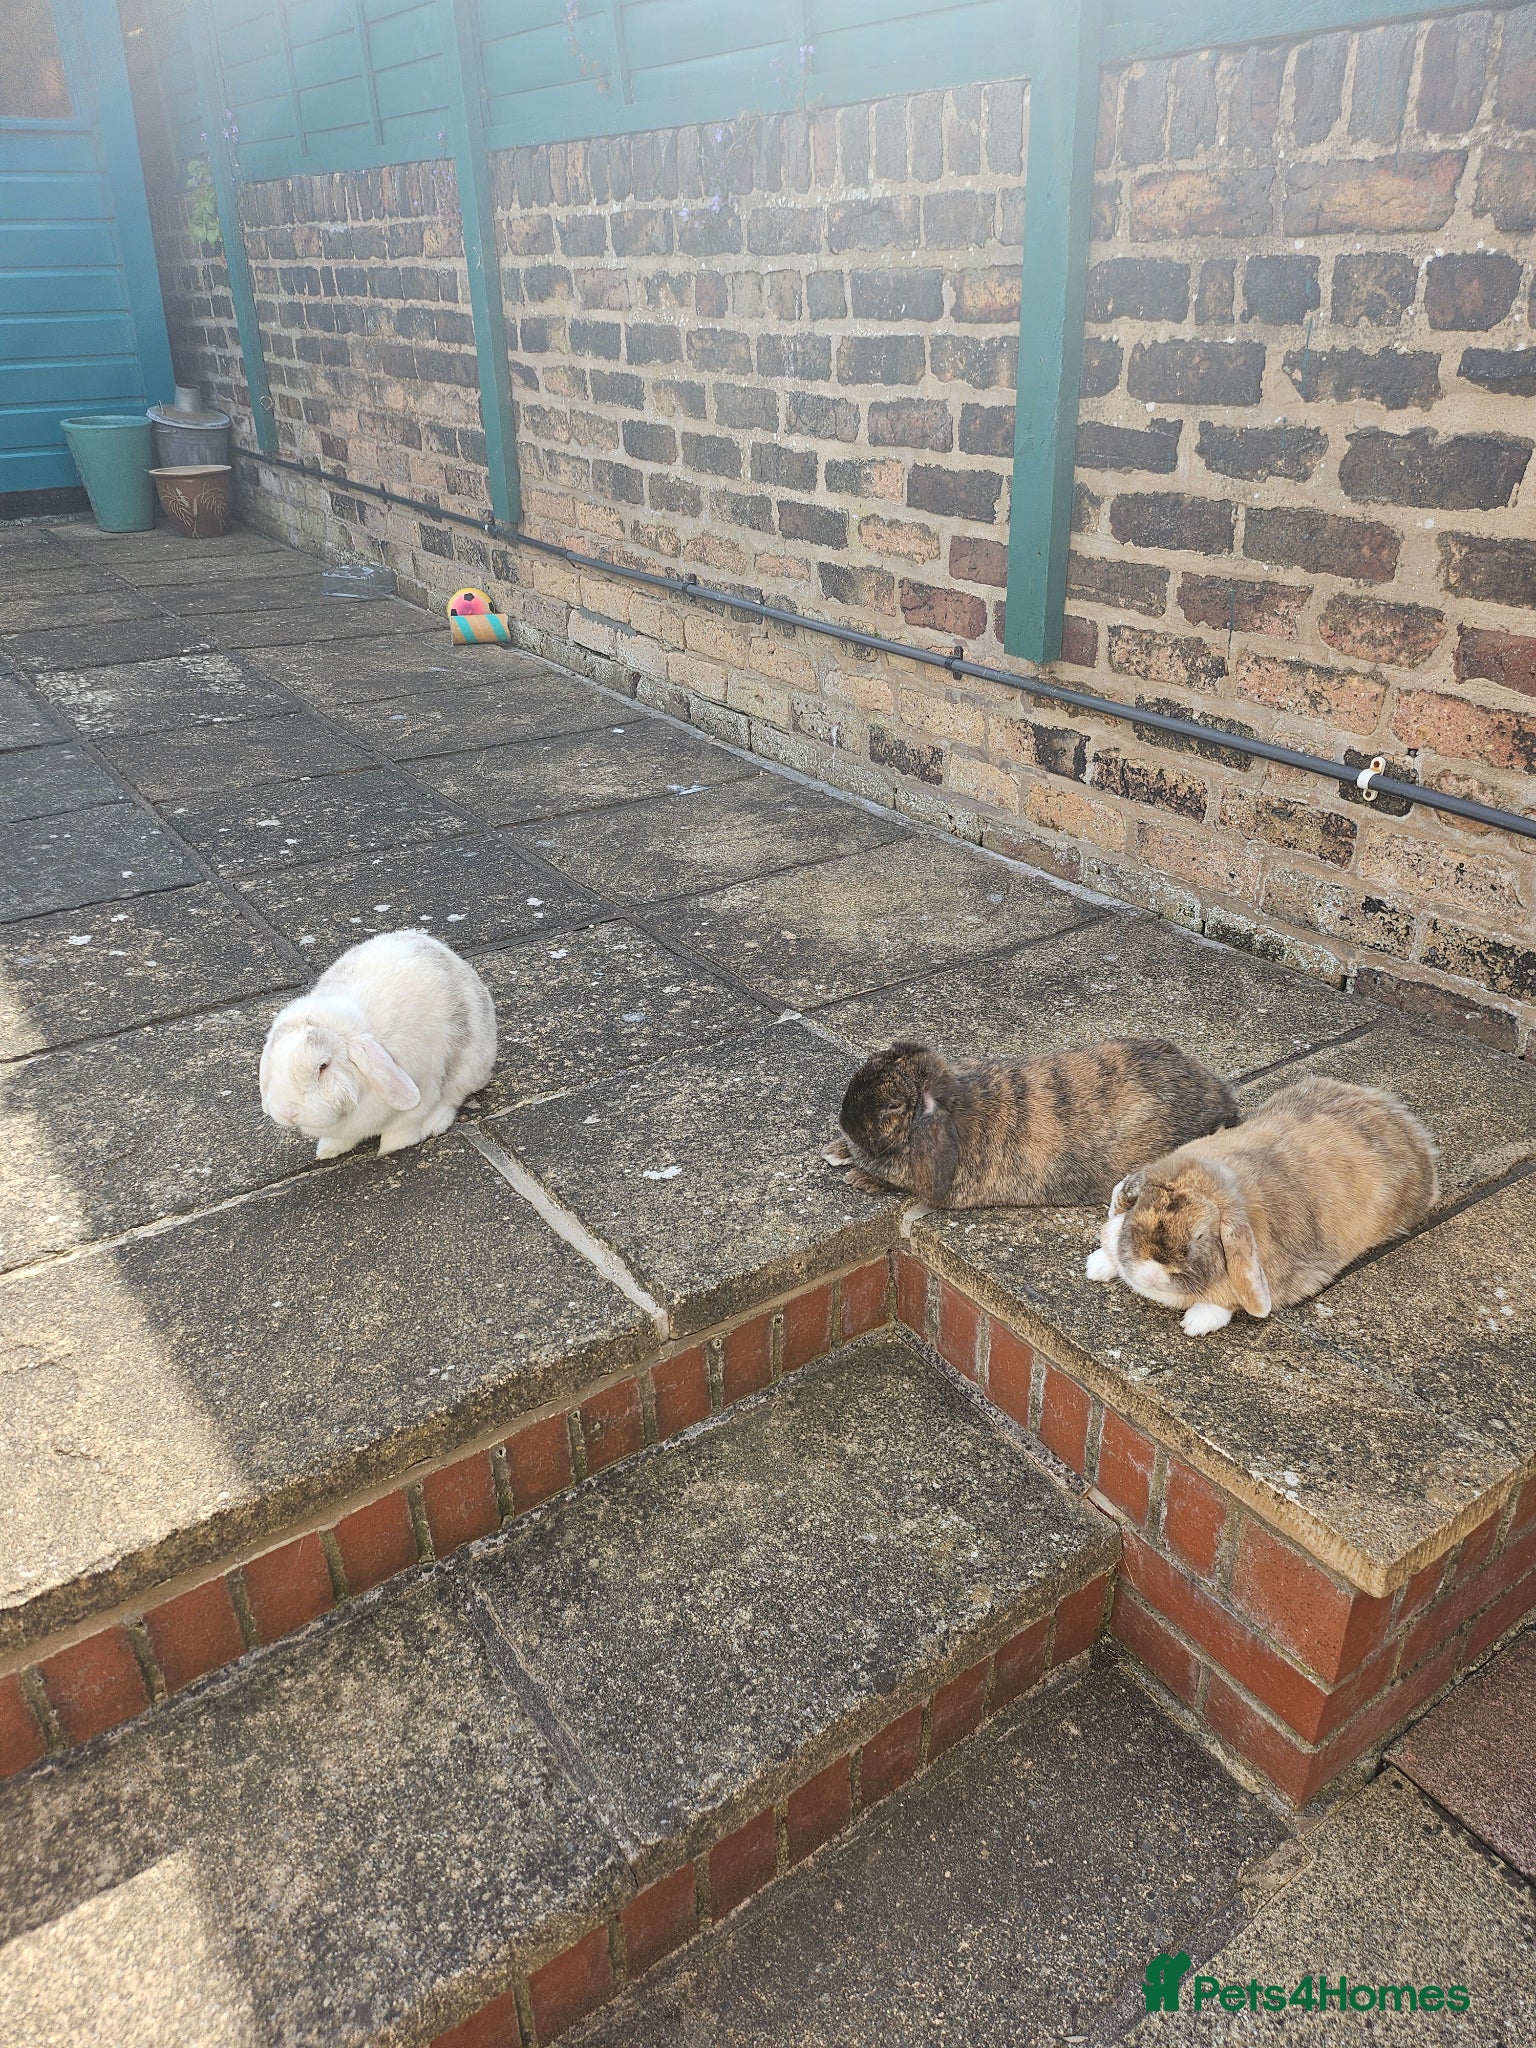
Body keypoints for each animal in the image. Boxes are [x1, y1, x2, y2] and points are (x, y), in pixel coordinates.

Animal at [259, 929, 496, 1159]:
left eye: (323, 1066)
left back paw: (434, 1124)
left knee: (453, 1096)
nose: (287, 1114)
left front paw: (389, 1150)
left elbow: (401, 1132)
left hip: (468, 1063)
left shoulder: (419, 1099)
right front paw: (327, 1151)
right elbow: (341, 1140)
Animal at [1084, 1074, 1438, 1336]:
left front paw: (1195, 1324)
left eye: (1200, 1236)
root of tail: (1404, 1121)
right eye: (1138, 1216)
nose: (1153, 1274)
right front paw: (1097, 1266)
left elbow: (1223, 1305)